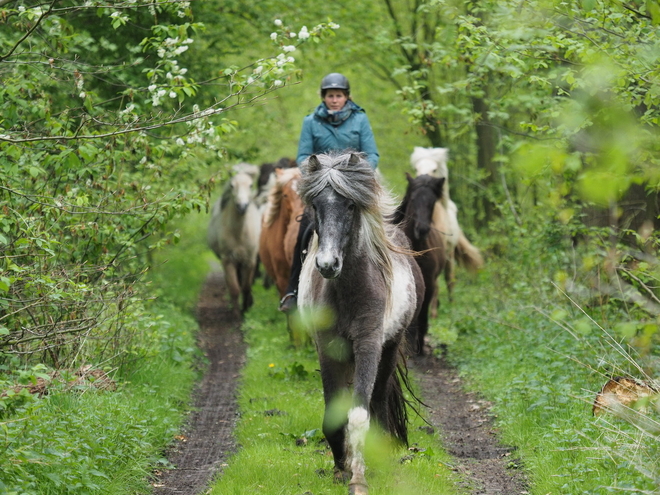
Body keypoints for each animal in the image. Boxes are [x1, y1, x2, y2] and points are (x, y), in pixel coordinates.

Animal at [206, 163, 260, 318]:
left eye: (250, 185)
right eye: (231, 185)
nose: (242, 206)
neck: (239, 233)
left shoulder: (249, 260)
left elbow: (246, 286)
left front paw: (246, 308)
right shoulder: (228, 260)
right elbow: (234, 288)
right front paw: (236, 313)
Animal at [298, 153, 422, 494]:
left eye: (351, 205)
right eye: (315, 205)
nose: (327, 264)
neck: (348, 291)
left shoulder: (368, 344)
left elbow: (358, 414)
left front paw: (358, 477)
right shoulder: (328, 348)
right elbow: (333, 415)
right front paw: (341, 467)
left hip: (390, 347)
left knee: (377, 400)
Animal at [394, 172, 446, 354]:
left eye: (432, 202)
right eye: (413, 199)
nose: (422, 230)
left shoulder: (429, 284)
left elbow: (422, 316)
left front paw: (420, 346)